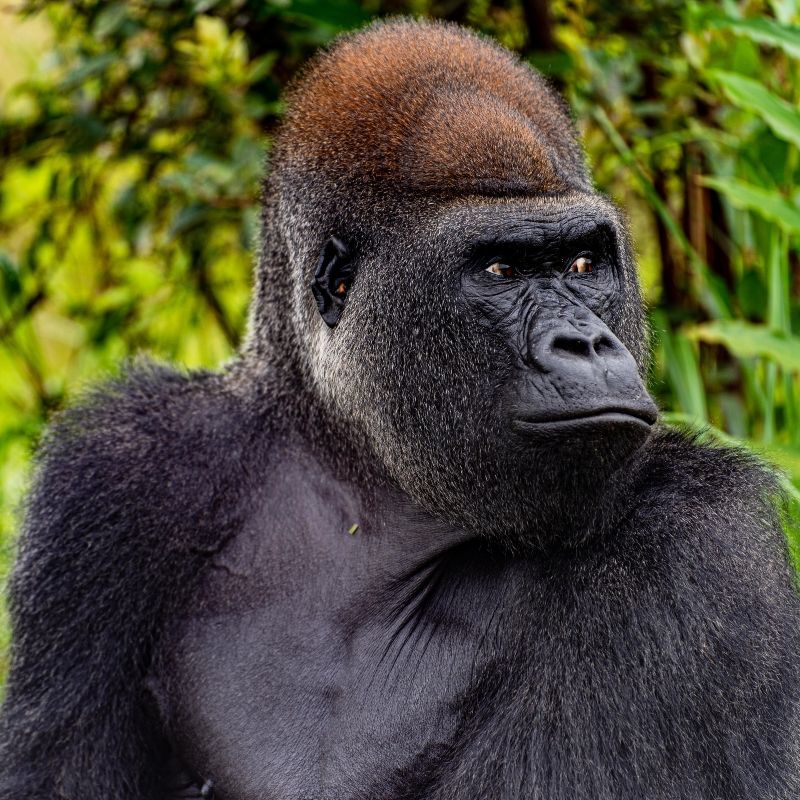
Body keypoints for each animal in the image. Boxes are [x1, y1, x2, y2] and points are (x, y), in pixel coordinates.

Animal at [1, 19, 798, 800]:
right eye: (500, 269)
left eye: (582, 264)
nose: (587, 343)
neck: (362, 479)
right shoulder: (124, 470)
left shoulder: (702, 541)